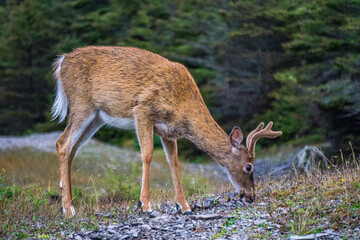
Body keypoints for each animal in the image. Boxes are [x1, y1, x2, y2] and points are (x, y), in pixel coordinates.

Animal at [51, 46, 282, 217]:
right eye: (249, 167)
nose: (251, 196)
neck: (184, 106)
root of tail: (61, 62)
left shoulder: (168, 132)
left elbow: (174, 163)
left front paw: (184, 206)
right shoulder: (143, 110)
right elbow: (147, 154)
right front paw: (144, 204)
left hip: (97, 118)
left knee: (72, 150)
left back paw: (68, 203)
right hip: (82, 105)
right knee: (63, 143)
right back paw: (69, 208)